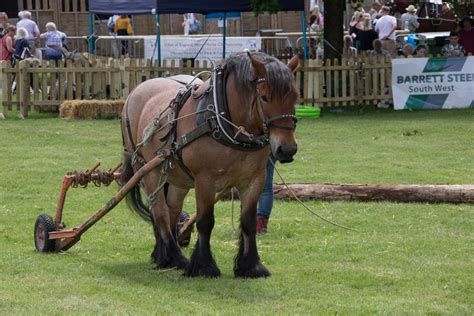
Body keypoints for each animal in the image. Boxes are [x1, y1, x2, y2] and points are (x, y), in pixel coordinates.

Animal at [120, 51, 298, 276]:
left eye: (295, 97)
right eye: (264, 97)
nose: (287, 149)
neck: (223, 121)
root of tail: (136, 91)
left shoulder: (255, 179)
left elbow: (248, 221)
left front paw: (250, 265)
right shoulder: (205, 179)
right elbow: (205, 221)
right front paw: (203, 265)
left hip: (176, 178)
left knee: (172, 210)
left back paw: (163, 255)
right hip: (148, 171)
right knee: (159, 212)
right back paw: (175, 257)